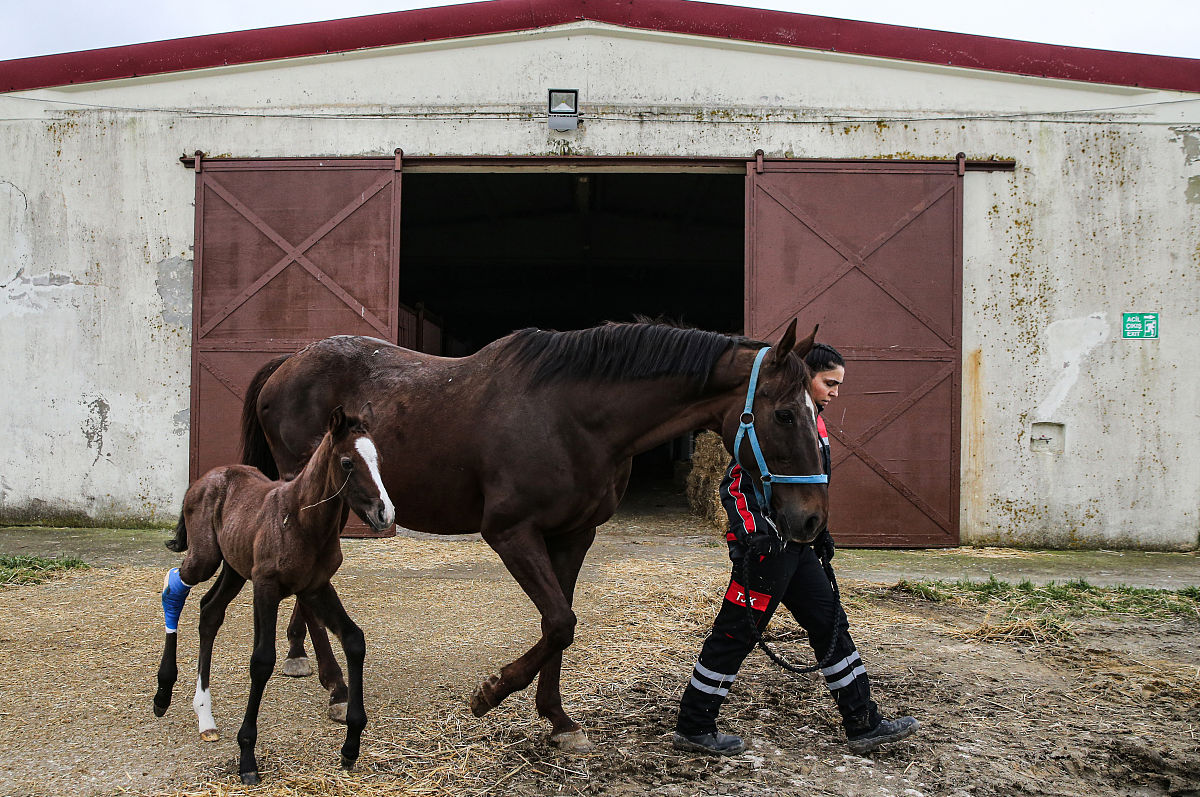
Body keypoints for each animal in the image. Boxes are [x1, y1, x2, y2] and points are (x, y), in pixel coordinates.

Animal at [153, 406, 395, 785]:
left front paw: (351, 746)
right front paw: (247, 758)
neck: (300, 520)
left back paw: (205, 716)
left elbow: (354, 640)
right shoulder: (265, 587)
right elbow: (262, 661)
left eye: (378, 459)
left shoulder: (315, 587)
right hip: (206, 558)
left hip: (235, 569)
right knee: (175, 585)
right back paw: (163, 693)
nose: (385, 513)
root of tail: (205, 478)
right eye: (346, 462)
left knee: (209, 612)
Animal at [239, 319, 828, 753]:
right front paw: (490, 693)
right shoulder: (511, 532)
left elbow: (560, 623)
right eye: (784, 413)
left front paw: (559, 720)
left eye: (816, 408)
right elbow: (560, 621)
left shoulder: (574, 535)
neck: (572, 416)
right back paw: (337, 688)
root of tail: (286, 364)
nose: (810, 522)